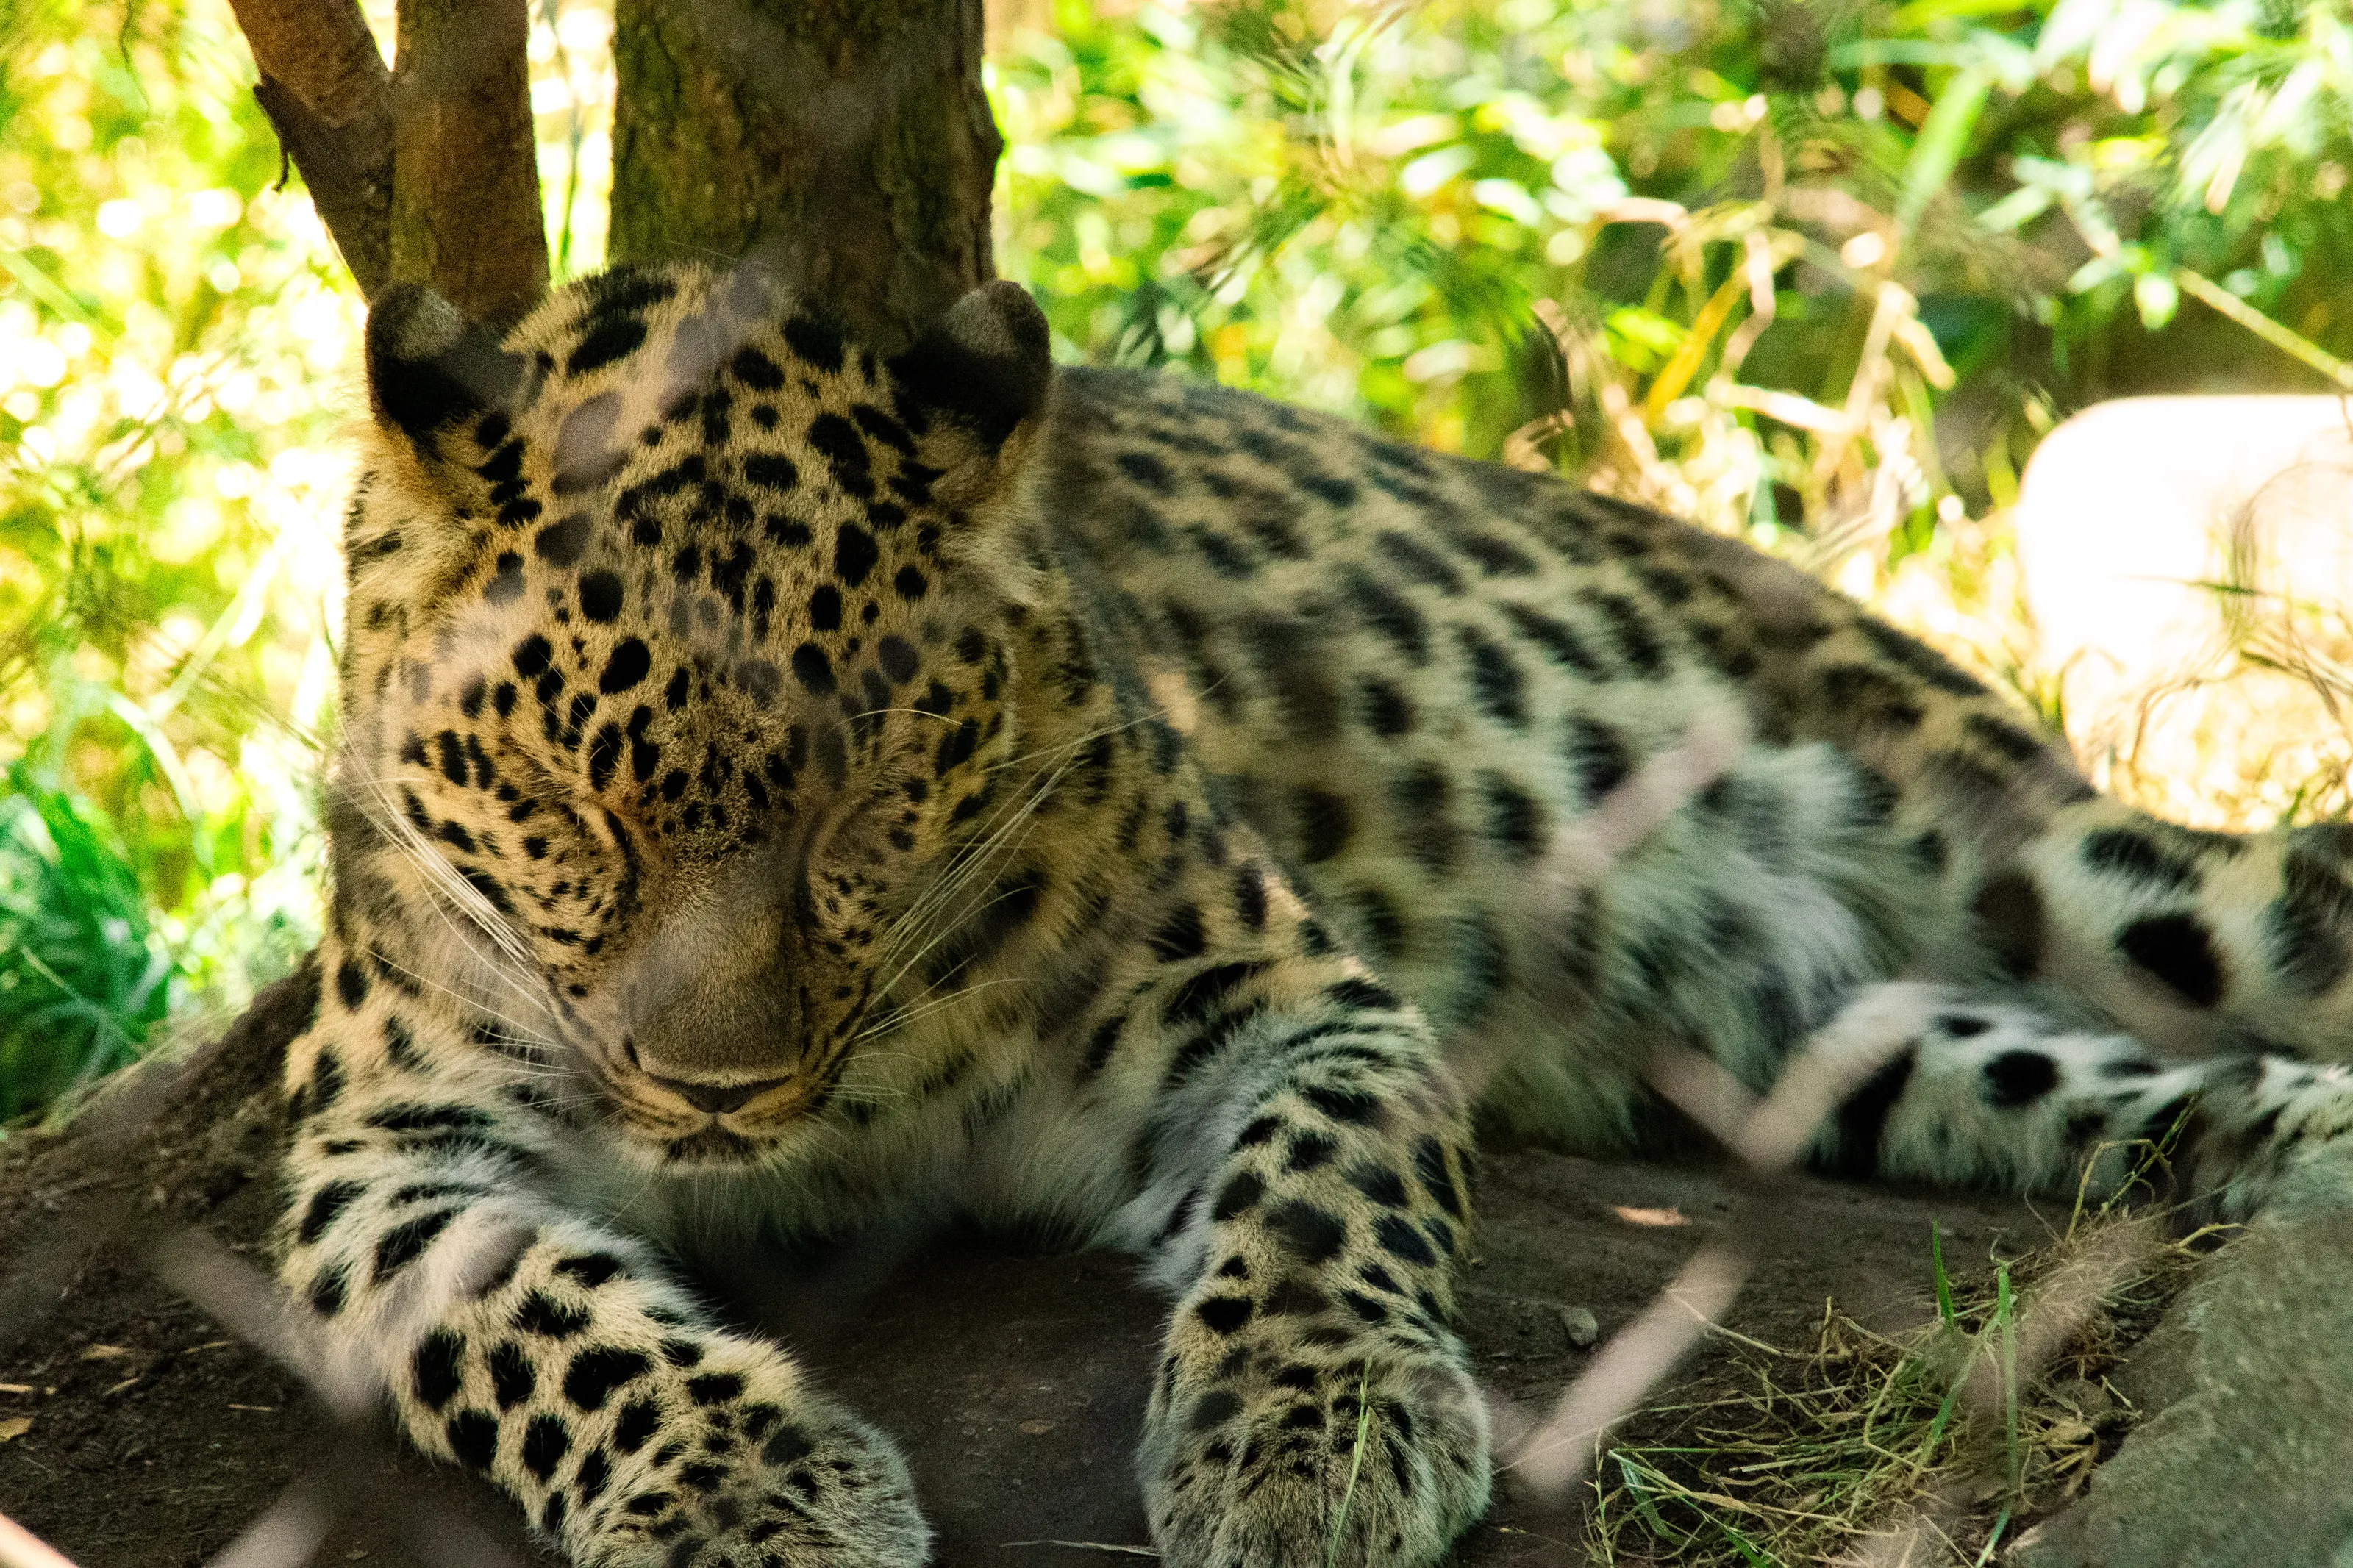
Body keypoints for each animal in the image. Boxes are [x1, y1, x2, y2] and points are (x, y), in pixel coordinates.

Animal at [278, 256, 2353, 1568]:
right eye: (558, 805)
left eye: (865, 806)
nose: (719, 1093)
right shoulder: (386, 1151)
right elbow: (548, 1327)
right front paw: (746, 1492)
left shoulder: (1281, 995)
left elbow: (1314, 1188)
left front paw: (1313, 1434)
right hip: (1805, 1035)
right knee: (2063, 1080)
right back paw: (2289, 1141)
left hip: (2062, 862)